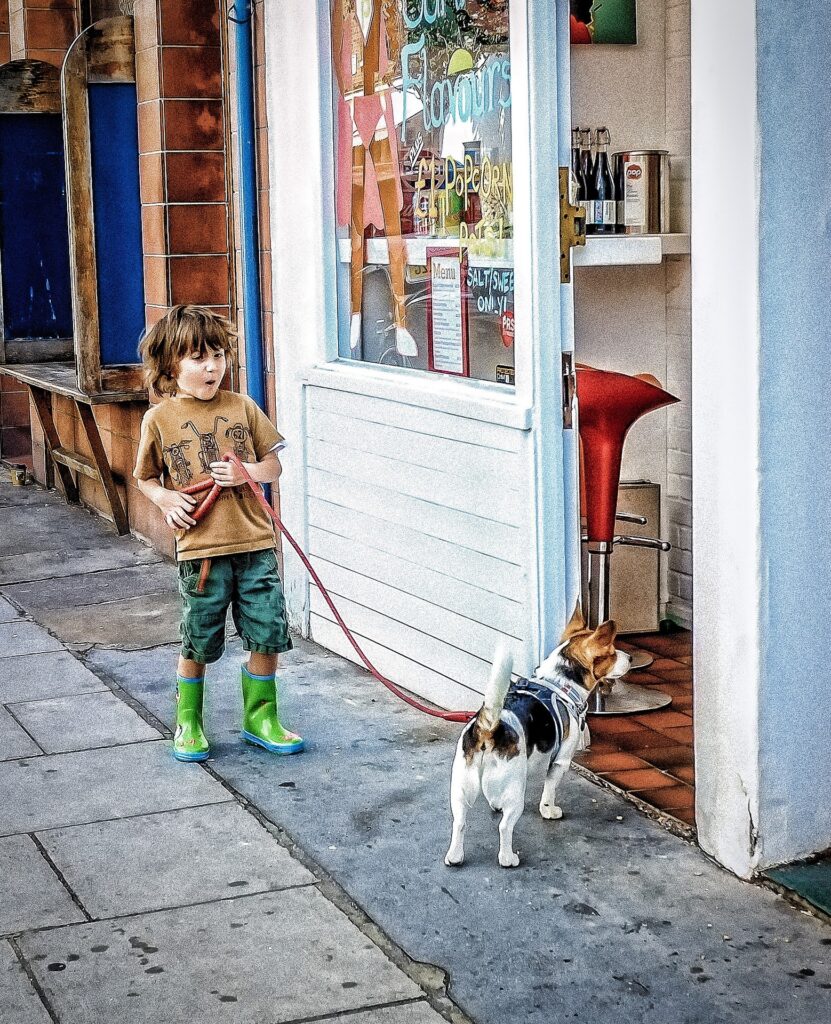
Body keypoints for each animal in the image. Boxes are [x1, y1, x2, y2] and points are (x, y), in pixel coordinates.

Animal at [444, 602, 634, 868]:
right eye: (612, 652)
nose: (631, 657)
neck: (559, 683)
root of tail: (488, 729)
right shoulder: (560, 762)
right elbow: (549, 790)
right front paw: (549, 810)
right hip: (515, 793)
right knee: (505, 827)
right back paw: (508, 858)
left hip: (460, 790)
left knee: (459, 823)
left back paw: (455, 856)